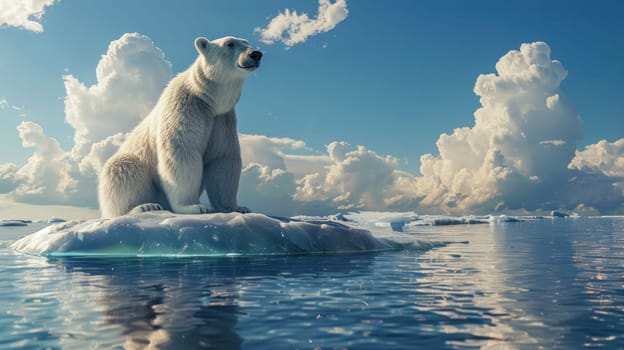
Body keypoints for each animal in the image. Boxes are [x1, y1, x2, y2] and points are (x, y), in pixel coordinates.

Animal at [98, 34, 264, 216]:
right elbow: (182, 152)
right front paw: (195, 206)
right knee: (123, 170)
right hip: (132, 163)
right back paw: (143, 206)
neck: (208, 99)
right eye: (229, 43)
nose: (256, 54)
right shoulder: (185, 107)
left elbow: (222, 158)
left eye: (246, 42)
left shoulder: (222, 119)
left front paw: (237, 208)